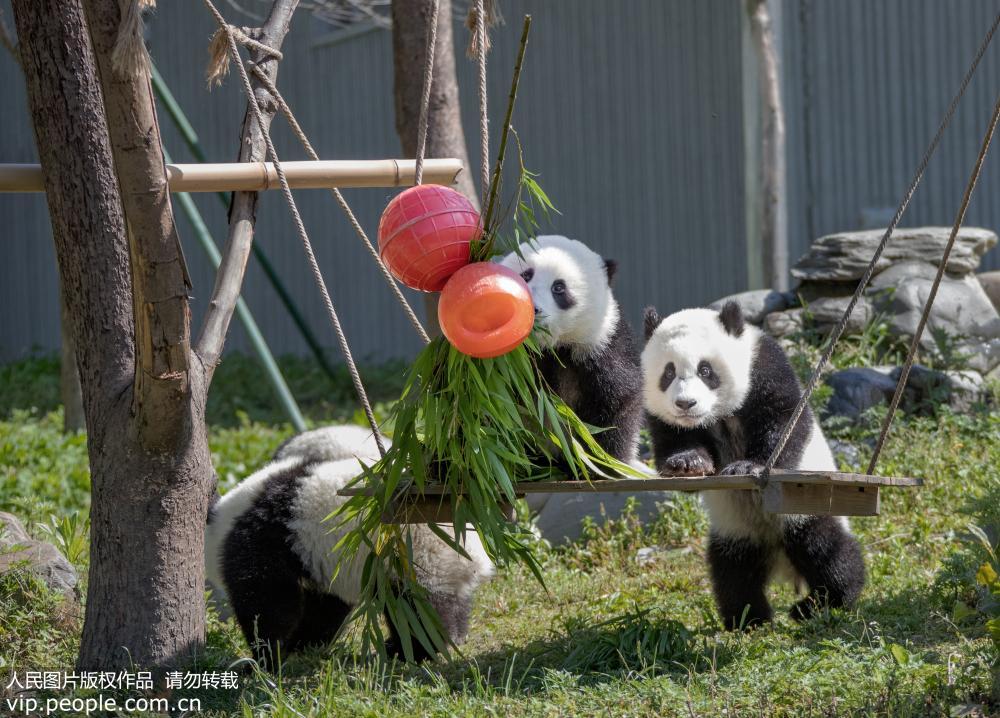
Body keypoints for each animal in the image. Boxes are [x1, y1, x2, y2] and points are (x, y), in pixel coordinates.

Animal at [644, 304, 864, 632]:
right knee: (733, 570)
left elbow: (782, 421)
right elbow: (673, 441)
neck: (719, 415)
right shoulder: (663, 418)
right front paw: (687, 464)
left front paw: (746, 466)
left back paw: (823, 603)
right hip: (736, 530)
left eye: (705, 370)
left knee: (825, 548)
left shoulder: (765, 366)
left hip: (804, 507)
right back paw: (748, 618)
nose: (685, 403)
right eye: (668, 372)